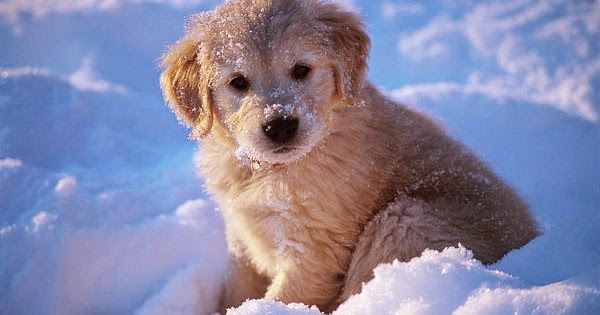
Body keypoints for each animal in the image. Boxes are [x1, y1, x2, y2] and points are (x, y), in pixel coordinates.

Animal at [159, 0, 540, 314]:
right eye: (238, 82)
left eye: (301, 70)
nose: (280, 125)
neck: (271, 170)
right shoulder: (242, 237)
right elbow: (236, 290)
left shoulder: (315, 251)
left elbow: (284, 297)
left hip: (405, 220)